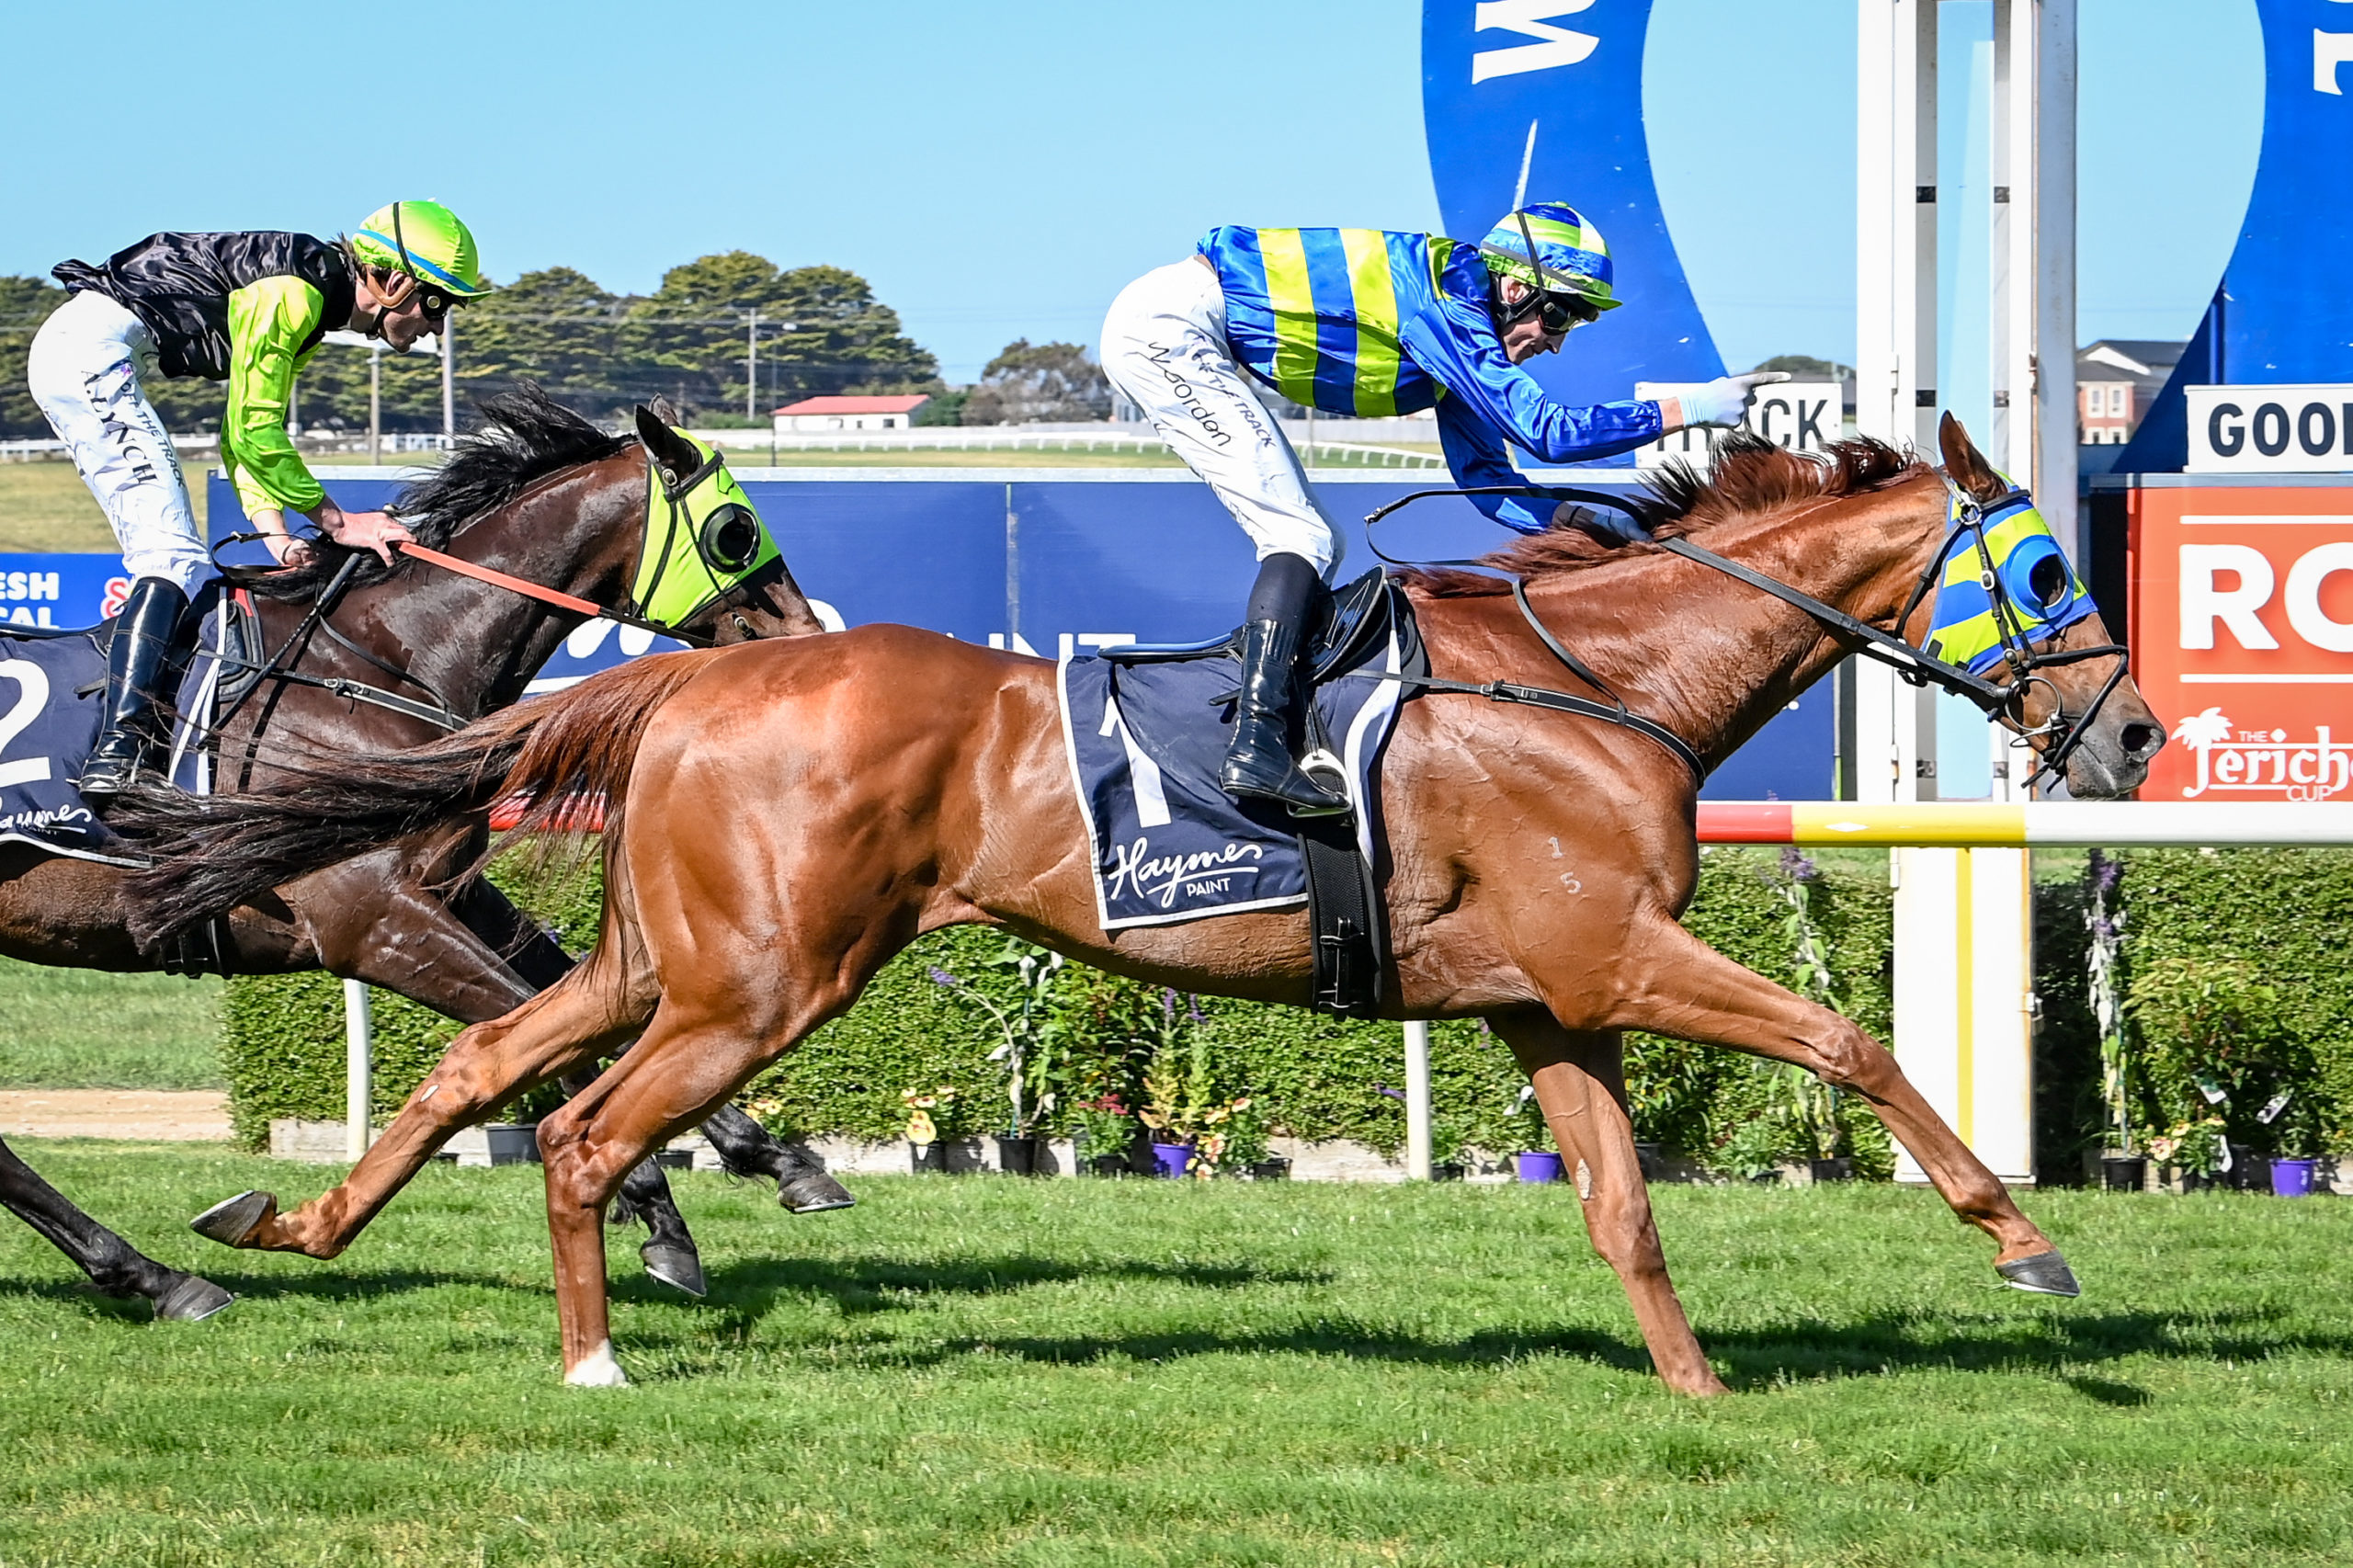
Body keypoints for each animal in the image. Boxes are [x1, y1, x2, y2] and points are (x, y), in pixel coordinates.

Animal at [2, 387, 846, 1321]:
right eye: (738, 527)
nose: (807, 635)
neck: (383, 670)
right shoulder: (369, 923)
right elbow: (537, 1027)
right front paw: (657, 1208)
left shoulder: (450, 887)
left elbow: (585, 1005)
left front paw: (769, 1165)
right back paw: (156, 1276)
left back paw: (149, 1274)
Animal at [128, 417, 2166, 1391]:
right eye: (2043, 566)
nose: (2135, 727)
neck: (1598, 679)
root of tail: (692, 685)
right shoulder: (1615, 950)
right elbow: (1847, 1041)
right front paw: (2022, 1242)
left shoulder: (1548, 996)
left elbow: (1620, 1208)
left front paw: (1695, 1390)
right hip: (760, 986)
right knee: (580, 1130)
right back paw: (596, 1351)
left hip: (670, 953)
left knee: (481, 1072)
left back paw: (283, 1221)